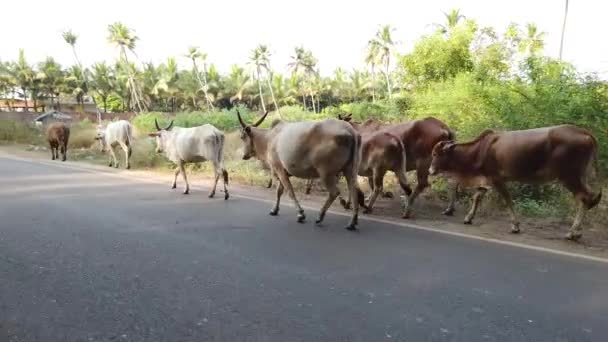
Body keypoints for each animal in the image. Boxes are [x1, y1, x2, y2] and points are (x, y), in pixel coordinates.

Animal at [430, 125, 600, 240]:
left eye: (436, 154)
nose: (431, 170)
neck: (480, 149)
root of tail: (584, 132)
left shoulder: (497, 179)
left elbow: (507, 200)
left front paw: (515, 226)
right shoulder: (487, 180)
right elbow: (477, 197)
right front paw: (468, 218)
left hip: (570, 177)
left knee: (584, 198)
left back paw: (572, 232)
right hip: (580, 177)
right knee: (589, 197)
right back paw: (577, 231)